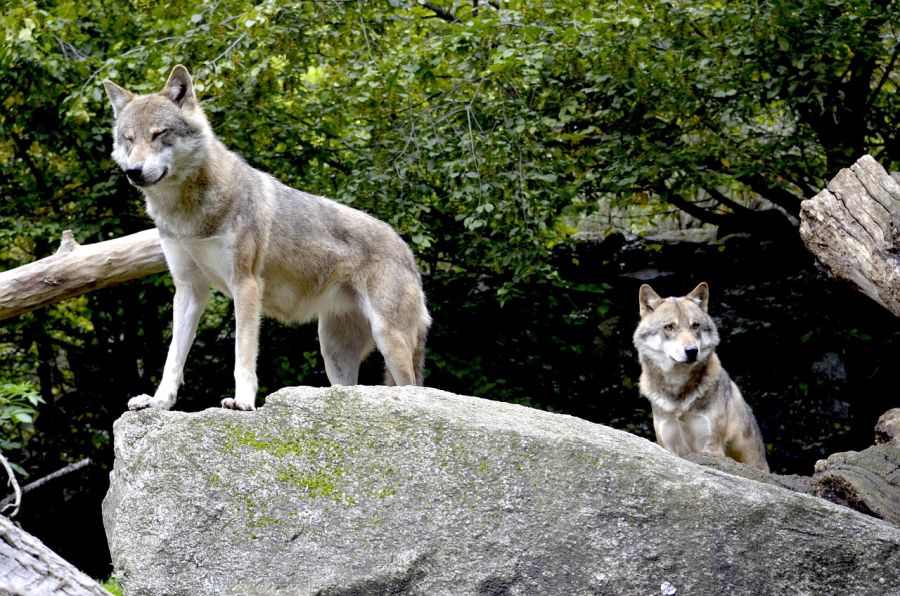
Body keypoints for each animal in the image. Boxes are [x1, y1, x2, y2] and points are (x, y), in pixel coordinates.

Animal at [103, 64, 430, 410]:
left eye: (158, 134)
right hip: (333, 353)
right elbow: (173, 359)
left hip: (389, 340)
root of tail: (407, 250)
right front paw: (158, 402)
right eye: (129, 139)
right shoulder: (189, 289)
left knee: (413, 387)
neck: (188, 213)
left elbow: (243, 355)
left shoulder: (246, 284)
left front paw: (243, 402)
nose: (134, 171)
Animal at [632, 282, 768, 472]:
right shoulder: (668, 446)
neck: (678, 395)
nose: (691, 351)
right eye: (669, 327)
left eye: (695, 326)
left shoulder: (711, 447)